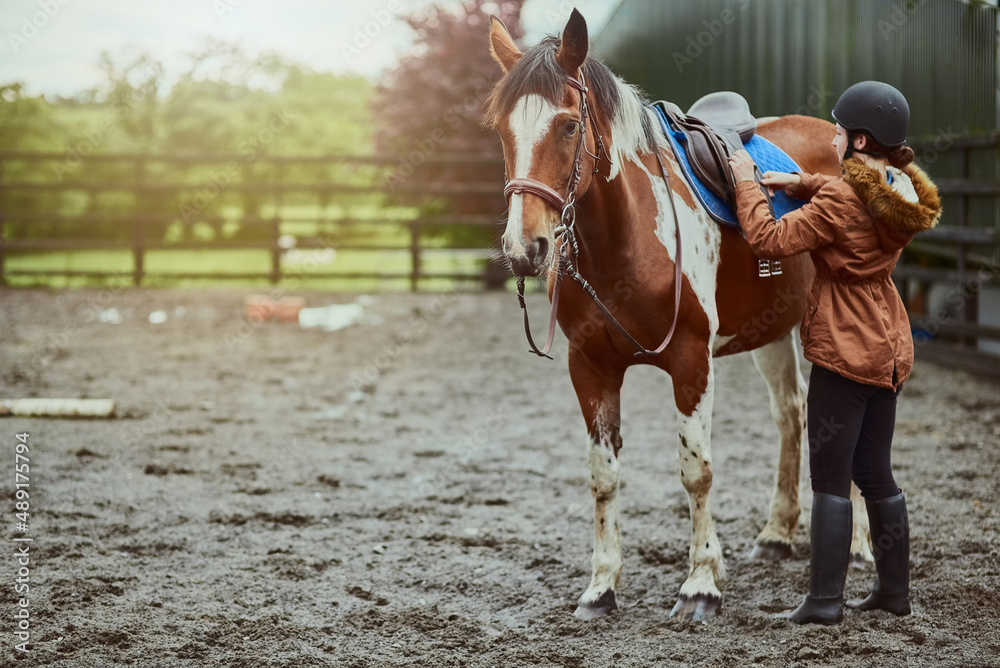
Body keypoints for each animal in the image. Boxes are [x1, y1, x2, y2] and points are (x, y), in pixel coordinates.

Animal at [480, 9, 872, 620]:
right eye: (502, 128)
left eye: (568, 126)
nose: (526, 249)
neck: (626, 241)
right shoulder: (589, 367)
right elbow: (603, 476)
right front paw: (601, 587)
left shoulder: (691, 361)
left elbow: (696, 472)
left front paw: (701, 585)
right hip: (774, 330)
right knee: (792, 415)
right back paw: (777, 534)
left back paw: (858, 551)